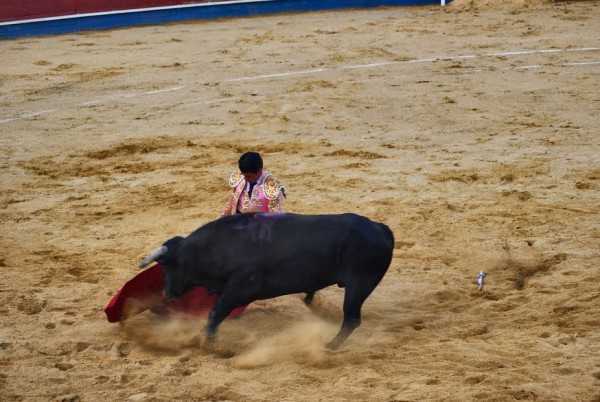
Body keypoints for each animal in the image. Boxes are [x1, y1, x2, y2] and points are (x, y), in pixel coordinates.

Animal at [138, 214, 396, 348]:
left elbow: (215, 313)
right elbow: (216, 313)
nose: (167, 294)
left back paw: (329, 346)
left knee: (351, 319)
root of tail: (381, 228)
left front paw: (206, 341)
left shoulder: (240, 289)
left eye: (165, 266)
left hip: (359, 285)